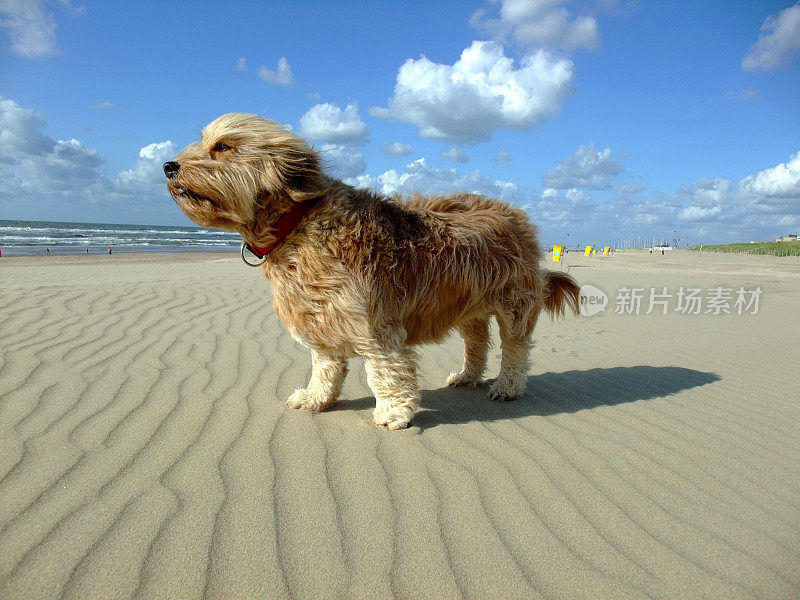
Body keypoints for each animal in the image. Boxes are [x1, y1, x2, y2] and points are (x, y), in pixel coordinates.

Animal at [162, 112, 580, 428]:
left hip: (514, 302)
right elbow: (325, 366)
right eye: (204, 142)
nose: (168, 166)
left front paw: (393, 412)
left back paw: (507, 385)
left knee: (514, 347)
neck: (296, 224)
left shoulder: (374, 321)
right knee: (476, 340)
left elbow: (385, 370)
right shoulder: (321, 316)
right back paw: (467, 375)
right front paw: (316, 398)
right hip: (467, 303)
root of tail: (516, 214)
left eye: (223, 146)